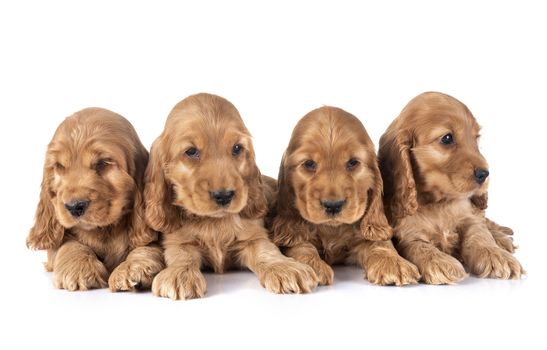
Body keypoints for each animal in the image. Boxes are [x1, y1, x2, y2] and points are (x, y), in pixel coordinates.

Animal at [27, 108, 165, 292]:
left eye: (102, 163)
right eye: (59, 166)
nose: (74, 206)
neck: (104, 230)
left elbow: (148, 246)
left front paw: (132, 268)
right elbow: (66, 245)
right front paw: (79, 268)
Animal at [143, 93, 318, 300]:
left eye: (237, 148)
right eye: (191, 151)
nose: (224, 196)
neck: (213, 222)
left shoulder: (254, 237)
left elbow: (267, 251)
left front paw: (285, 268)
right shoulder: (177, 241)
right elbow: (181, 256)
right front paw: (180, 274)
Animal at [272, 105, 422, 286]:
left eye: (353, 162)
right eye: (308, 164)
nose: (333, 205)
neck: (332, 229)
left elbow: (379, 242)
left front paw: (394, 263)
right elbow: (301, 246)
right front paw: (314, 267)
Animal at [378, 91, 524, 284]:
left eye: (476, 138)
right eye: (447, 138)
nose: (485, 174)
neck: (439, 203)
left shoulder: (470, 216)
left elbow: (480, 234)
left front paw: (497, 256)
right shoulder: (407, 232)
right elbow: (418, 246)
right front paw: (440, 262)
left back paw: (502, 239)